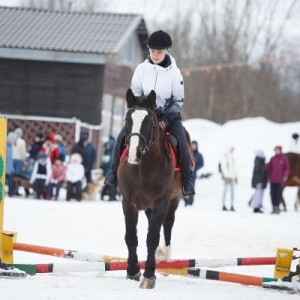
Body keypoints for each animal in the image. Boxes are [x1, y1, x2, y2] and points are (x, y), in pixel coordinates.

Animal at [118, 88, 191, 288]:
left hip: (173, 200)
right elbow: (130, 237)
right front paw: (133, 271)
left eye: (149, 122)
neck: (144, 168)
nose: (134, 154)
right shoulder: (128, 202)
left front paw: (149, 275)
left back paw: (165, 254)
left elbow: (152, 237)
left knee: (168, 223)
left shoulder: (160, 202)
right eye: (127, 120)